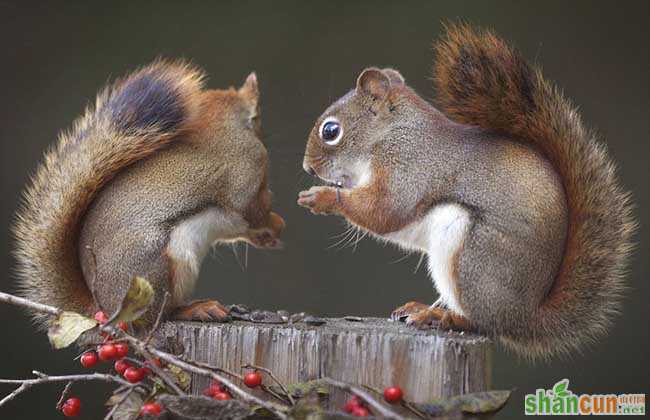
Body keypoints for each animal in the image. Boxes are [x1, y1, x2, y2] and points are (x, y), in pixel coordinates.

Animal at [14, 59, 284, 328]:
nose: (266, 134)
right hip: (159, 267)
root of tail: (104, 308)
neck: (223, 124)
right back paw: (196, 309)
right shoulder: (246, 176)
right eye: (258, 120)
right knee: (158, 316)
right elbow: (254, 212)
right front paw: (276, 225)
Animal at [298, 24, 632, 360]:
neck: (391, 133)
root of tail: (524, 316)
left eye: (331, 131)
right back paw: (422, 308)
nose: (307, 168)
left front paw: (321, 197)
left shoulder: (408, 166)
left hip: (471, 255)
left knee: (483, 323)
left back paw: (442, 317)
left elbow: (386, 210)